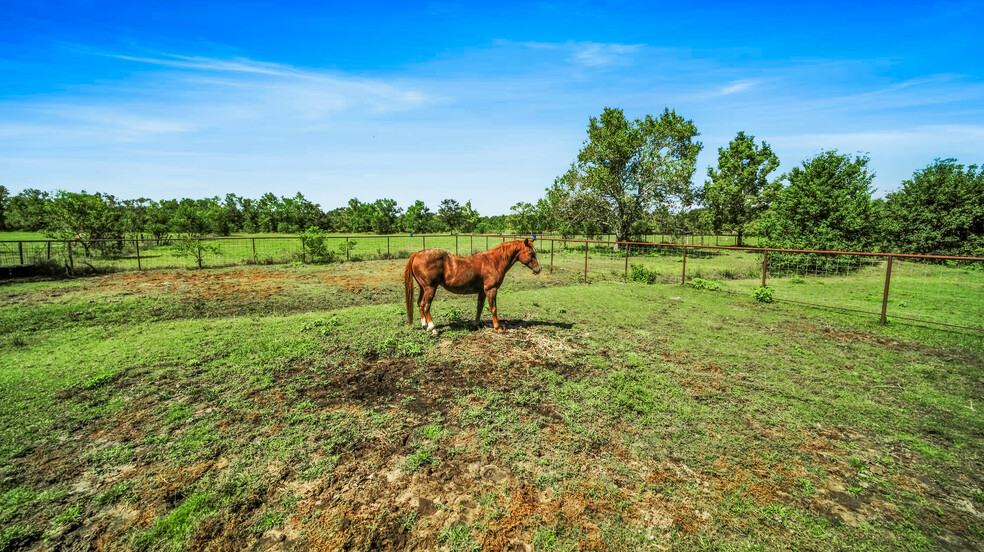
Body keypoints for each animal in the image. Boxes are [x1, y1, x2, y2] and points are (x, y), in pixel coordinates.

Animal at [402, 236, 544, 332]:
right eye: (530, 253)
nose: (539, 269)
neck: (493, 261)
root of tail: (417, 254)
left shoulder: (482, 291)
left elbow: (479, 308)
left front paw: (477, 324)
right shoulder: (491, 290)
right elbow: (493, 308)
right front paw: (498, 327)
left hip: (423, 288)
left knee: (420, 304)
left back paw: (424, 325)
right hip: (430, 288)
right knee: (426, 305)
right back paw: (433, 328)